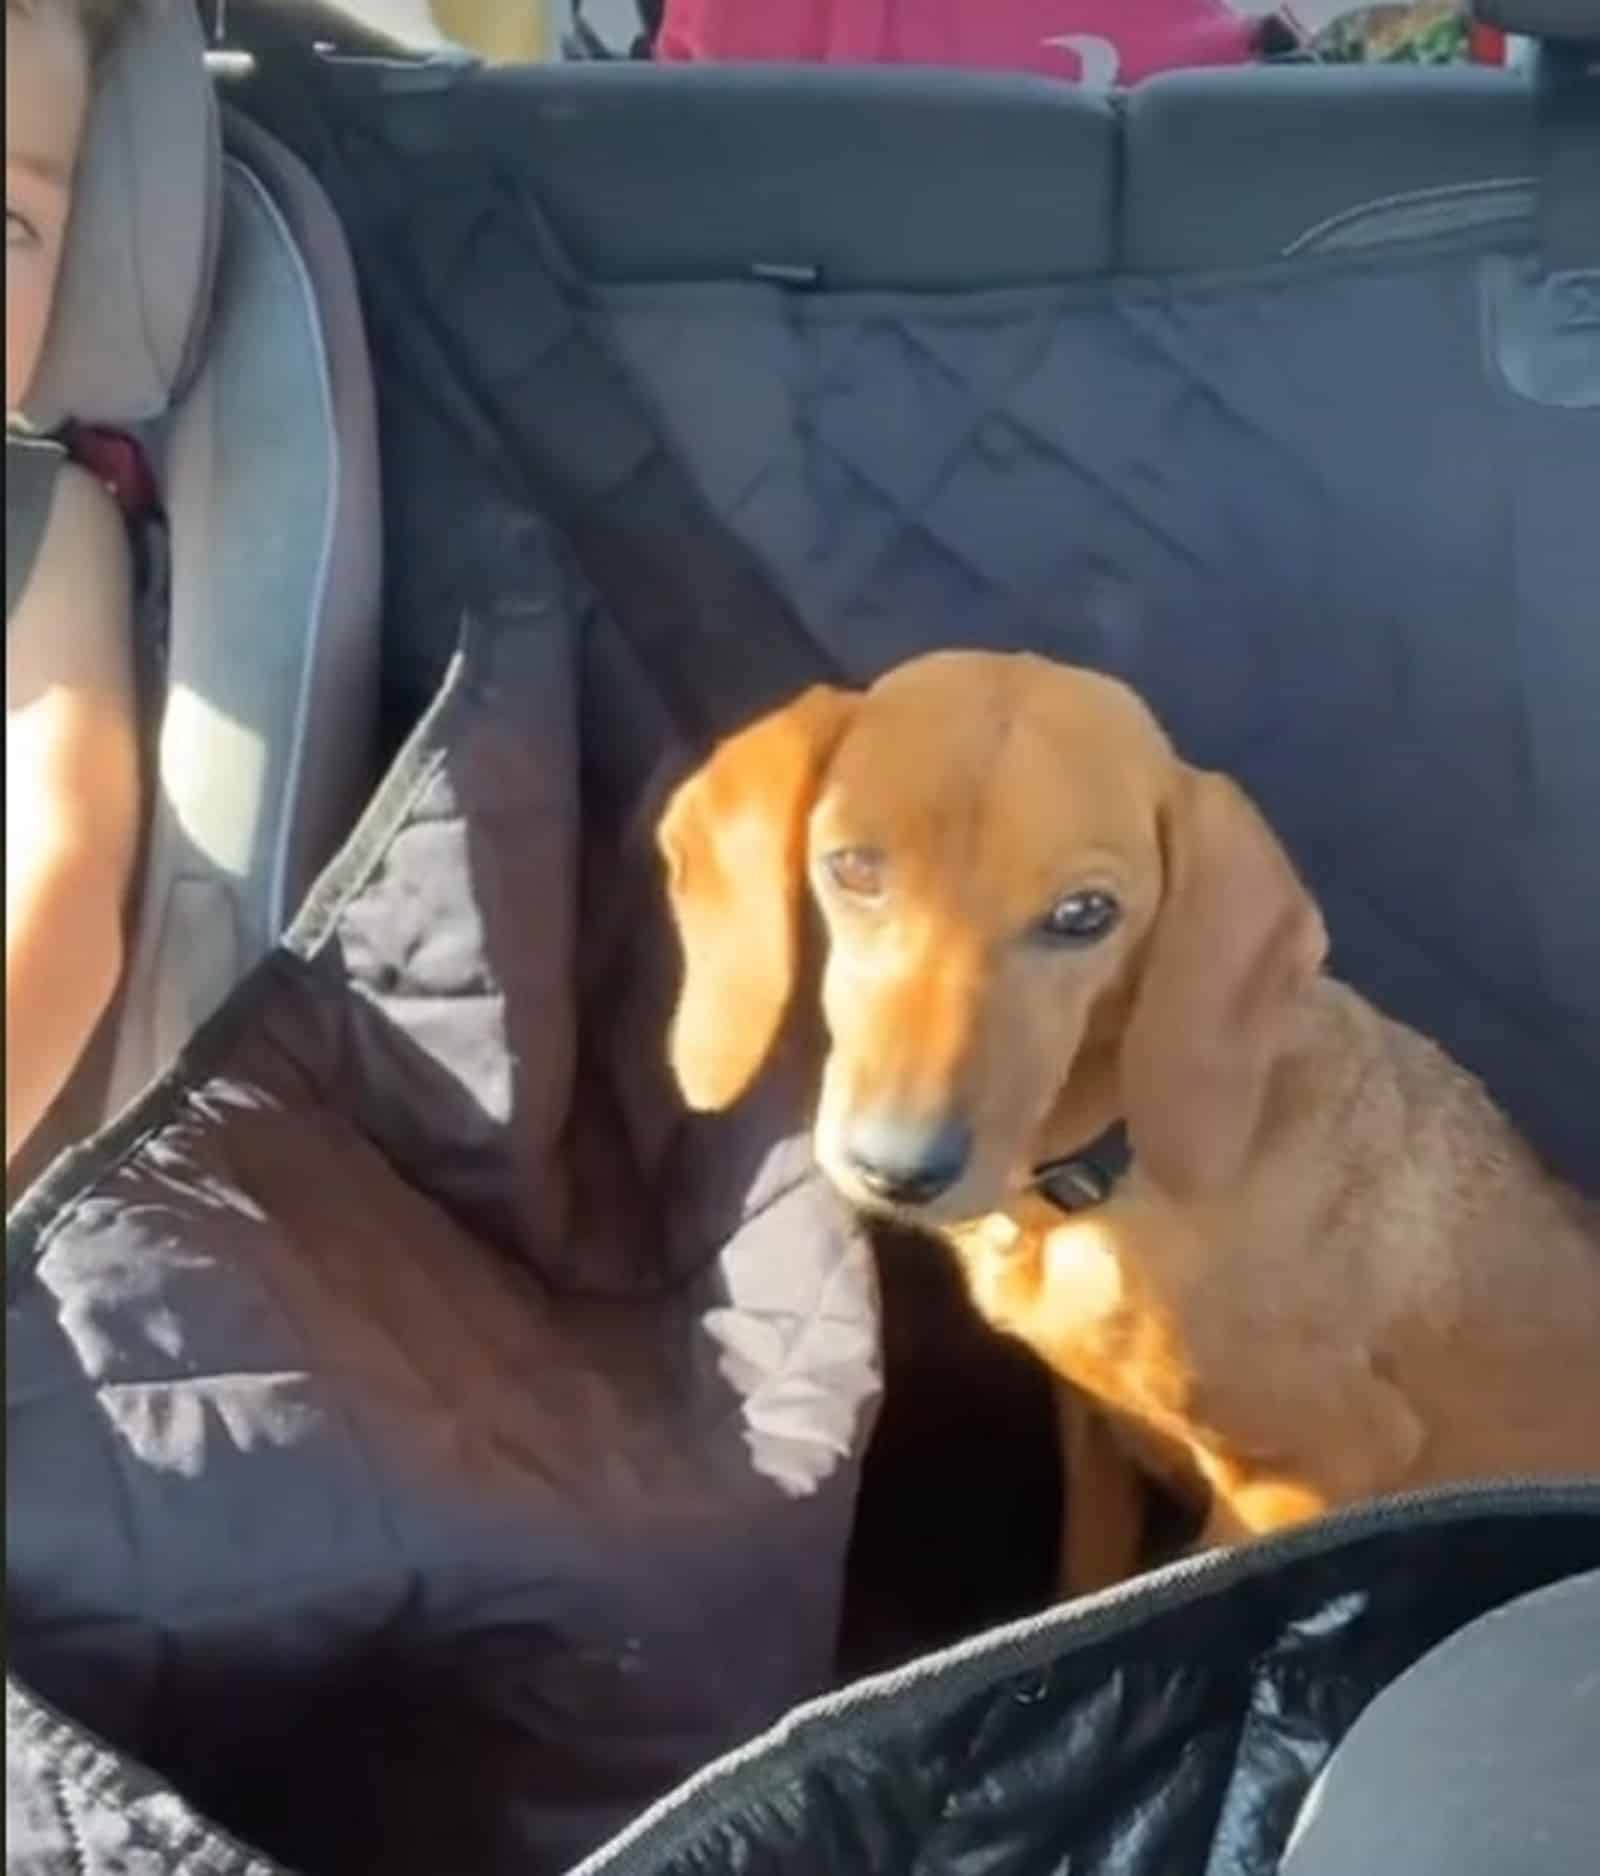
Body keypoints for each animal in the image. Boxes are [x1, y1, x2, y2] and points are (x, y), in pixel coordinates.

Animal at [652, 652, 1598, 1590]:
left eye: (1085, 915)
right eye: (851, 867)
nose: (898, 1171)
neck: (1110, 1175)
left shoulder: (1309, 1476)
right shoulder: (1092, 1429)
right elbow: (1089, 1569)